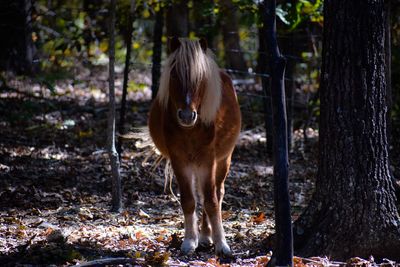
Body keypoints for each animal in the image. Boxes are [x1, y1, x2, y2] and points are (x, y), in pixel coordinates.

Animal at [148, 36, 239, 258]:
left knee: (217, 193)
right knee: (200, 195)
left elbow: (211, 202)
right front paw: (190, 241)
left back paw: (207, 236)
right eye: (174, 74)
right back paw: (203, 236)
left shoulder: (208, 161)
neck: (191, 129)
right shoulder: (179, 161)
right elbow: (189, 200)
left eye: (201, 77)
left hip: (222, 161)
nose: (187, 115)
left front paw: (221, 243)